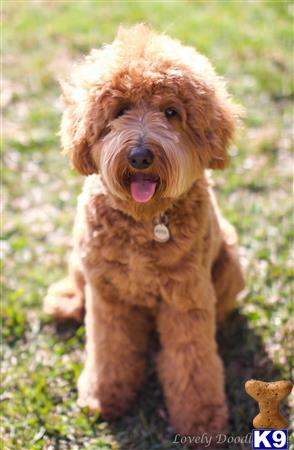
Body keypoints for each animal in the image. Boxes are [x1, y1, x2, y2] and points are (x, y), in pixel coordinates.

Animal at [43, 24, 245, 442]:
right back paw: (66, 300)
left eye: (171, 113)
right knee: (76, 285)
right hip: (82, 261)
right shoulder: (108, 296)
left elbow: (192, 364)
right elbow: (111, 351)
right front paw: (104, 396)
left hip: (233, 262)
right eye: (119, 111)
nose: (140, 157)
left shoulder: (186, 300)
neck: (144, 221)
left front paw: (201, 420)